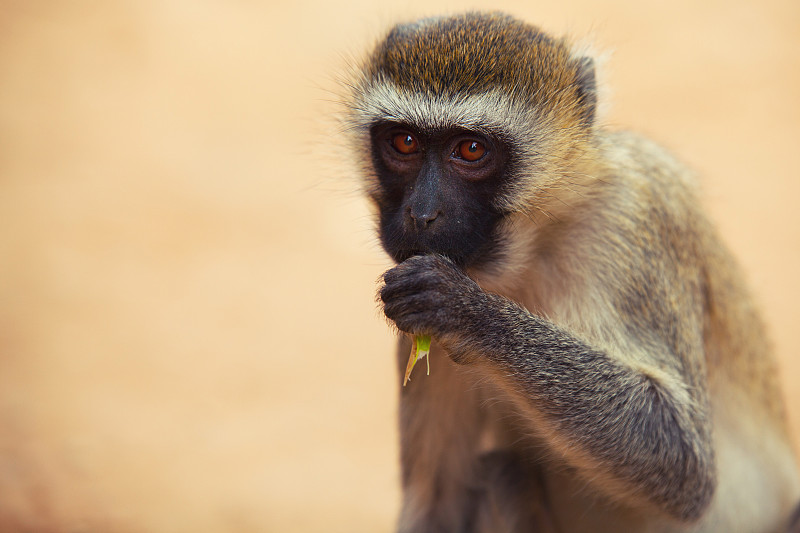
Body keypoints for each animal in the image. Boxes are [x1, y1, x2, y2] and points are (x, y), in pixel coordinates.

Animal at [342, 12, 800, 532]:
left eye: (472, 149)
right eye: (404, 142)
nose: (421, 214)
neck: (538, 238)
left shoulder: (636, 216)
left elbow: (682, 460)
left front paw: (463, 310)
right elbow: (438, 502)